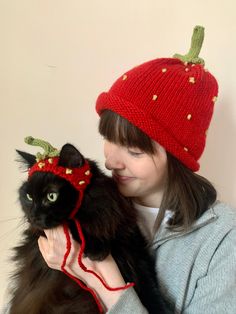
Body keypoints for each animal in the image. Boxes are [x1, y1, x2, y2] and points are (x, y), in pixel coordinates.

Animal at [8, 142, 166, 314]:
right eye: (29, 197)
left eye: (51, 196)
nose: (33, 216)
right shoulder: (41, 234)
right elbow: (72, 225)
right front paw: (96, 249)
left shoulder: (133, 247)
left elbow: (150, 288)